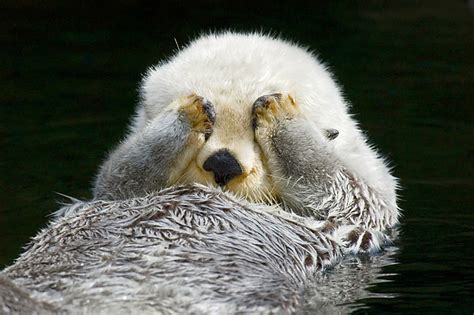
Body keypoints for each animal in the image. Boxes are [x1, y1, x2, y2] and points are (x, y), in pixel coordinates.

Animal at [1, 33, 400, 314]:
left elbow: (345, 186)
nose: (223, 163)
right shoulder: (113, 192)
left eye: (254, 134)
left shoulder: (368, 210)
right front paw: (188, 111)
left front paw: (279, 112)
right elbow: (121, 173)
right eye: (209, 130)